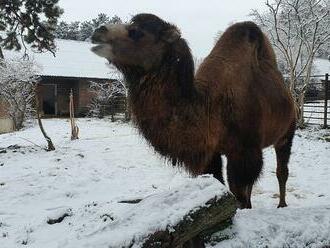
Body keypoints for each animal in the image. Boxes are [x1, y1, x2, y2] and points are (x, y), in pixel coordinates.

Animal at [91, 13, 296, 207]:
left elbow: (240, 195)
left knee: (281, 171)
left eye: (137, 32)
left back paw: (282, 204)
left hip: (287, 132)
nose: (98, 32)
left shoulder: (244, 153)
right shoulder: (210, 155)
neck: (211, 106)